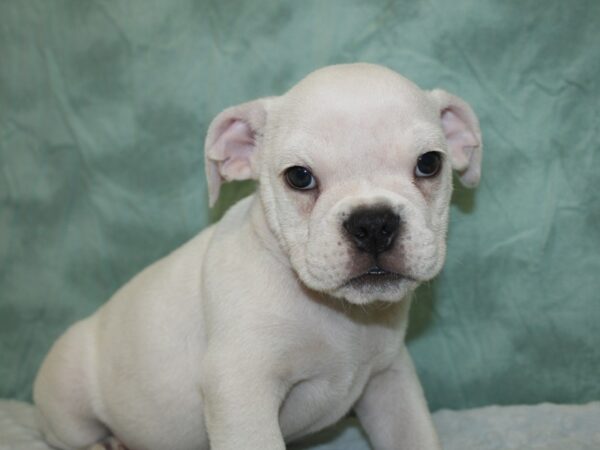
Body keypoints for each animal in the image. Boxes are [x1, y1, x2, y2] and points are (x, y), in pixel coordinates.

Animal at [32, 63, 482, 450]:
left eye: (429, 163)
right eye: (299, 177)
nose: (373, 223)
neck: (337, 313)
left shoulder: (391, 382)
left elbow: (415, 436)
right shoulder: (241, 389)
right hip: (68, 402)